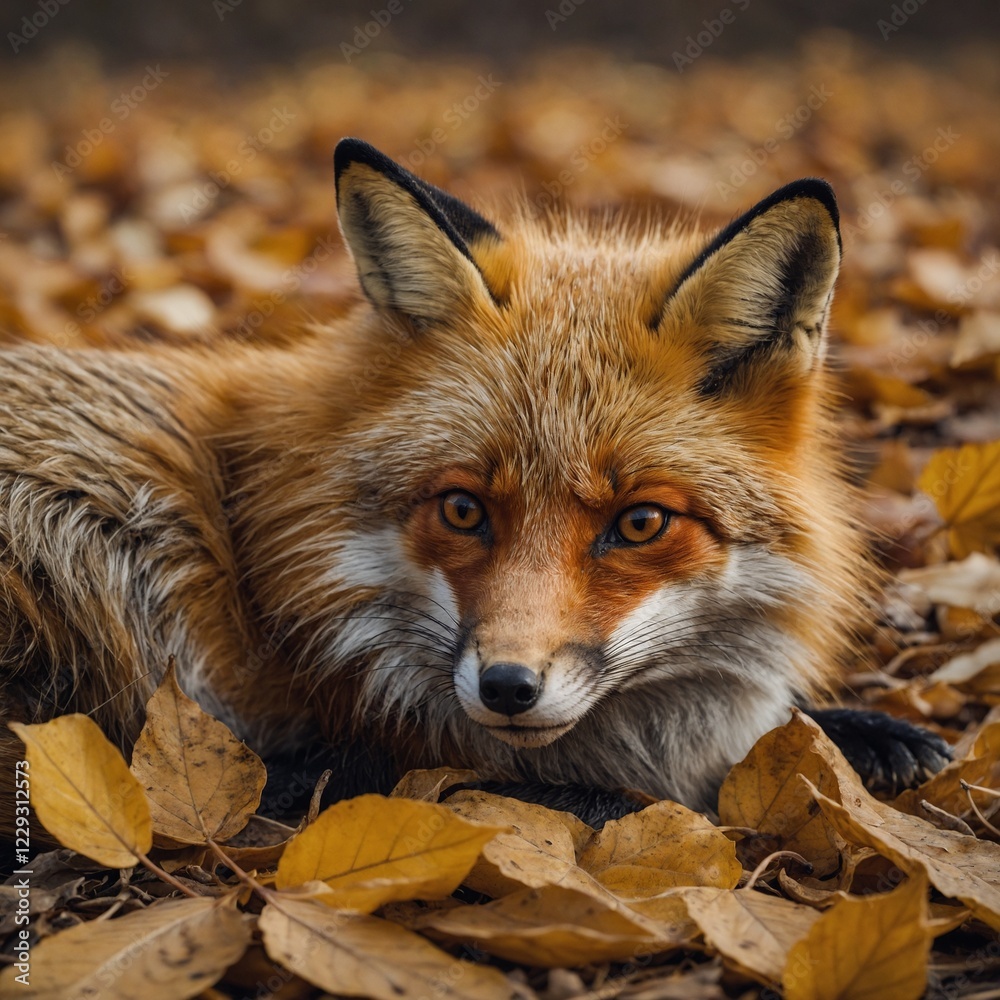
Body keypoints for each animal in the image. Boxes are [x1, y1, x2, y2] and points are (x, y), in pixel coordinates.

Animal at [0, 138, 949, 836]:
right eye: (463, 509)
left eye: (641, 523)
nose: (508, 688)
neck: (252, 554)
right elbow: (674, 801)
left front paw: (865, 732)